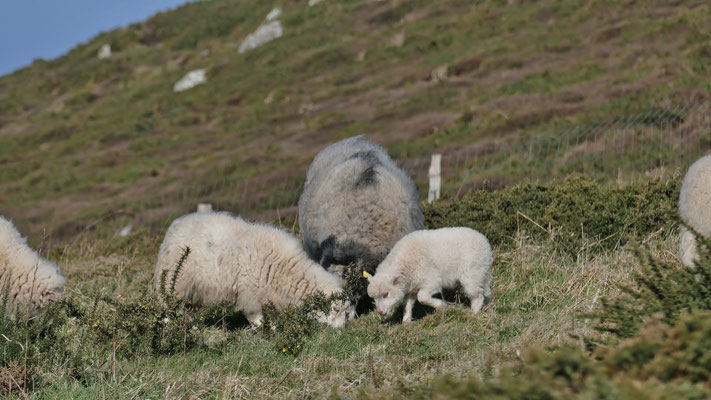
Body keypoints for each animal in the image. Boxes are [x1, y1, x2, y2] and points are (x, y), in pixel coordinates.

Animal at [154, 211, 355, 328]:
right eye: (337, 310)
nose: (342, 330)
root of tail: (176, 225)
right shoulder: (250, 293)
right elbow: (256, 315)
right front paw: (263, 328)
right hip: (175, 283)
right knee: (169, 307)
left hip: (193, 289)